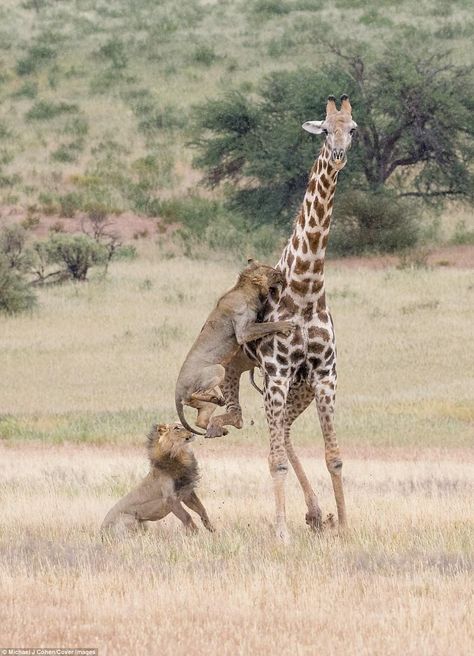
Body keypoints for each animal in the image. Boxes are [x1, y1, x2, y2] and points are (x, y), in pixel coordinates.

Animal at [174, 258, 292, 434]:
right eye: (272, 272)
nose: (282, 273)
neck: (246, 290)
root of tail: (177, 389)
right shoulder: (243, 331)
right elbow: (269, 325)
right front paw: (288, 325)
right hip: (217, 369)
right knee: (192, 395)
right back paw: (216, 398)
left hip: (206, 404)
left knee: (200, 419)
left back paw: (219, 417)